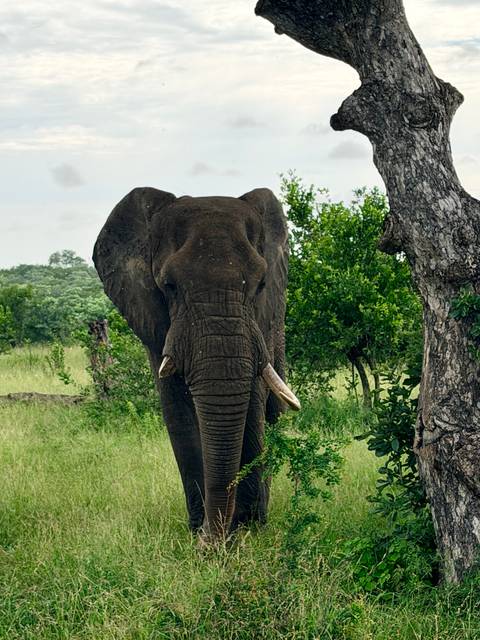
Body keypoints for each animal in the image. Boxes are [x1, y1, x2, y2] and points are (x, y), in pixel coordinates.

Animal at [93, 186, 300, 542]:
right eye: (169, 286)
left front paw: (248, 527)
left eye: (260, 284)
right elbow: (177, 410)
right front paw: (198, 530)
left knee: (273, 412)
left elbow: (251, 402)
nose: (209, 541)